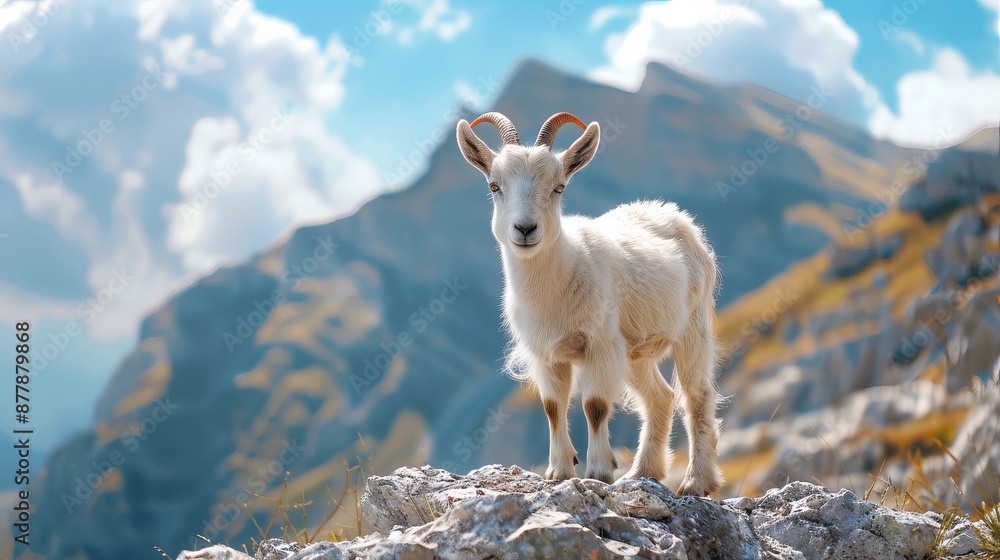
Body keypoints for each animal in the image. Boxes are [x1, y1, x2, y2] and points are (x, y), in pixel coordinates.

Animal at [455, 111, 723, 496]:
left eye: (559, 187)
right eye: (494, 186)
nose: (525, 229)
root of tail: (673, 215)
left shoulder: (599, 344)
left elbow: (595, 406)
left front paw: (598, 472)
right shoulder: (546, 353)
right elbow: (553, 407)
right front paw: (559, 471)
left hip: (692, 325)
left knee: (696, 395)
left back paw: (696, 482)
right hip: (635, 350)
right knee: (660, 396)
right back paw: (643, 471)